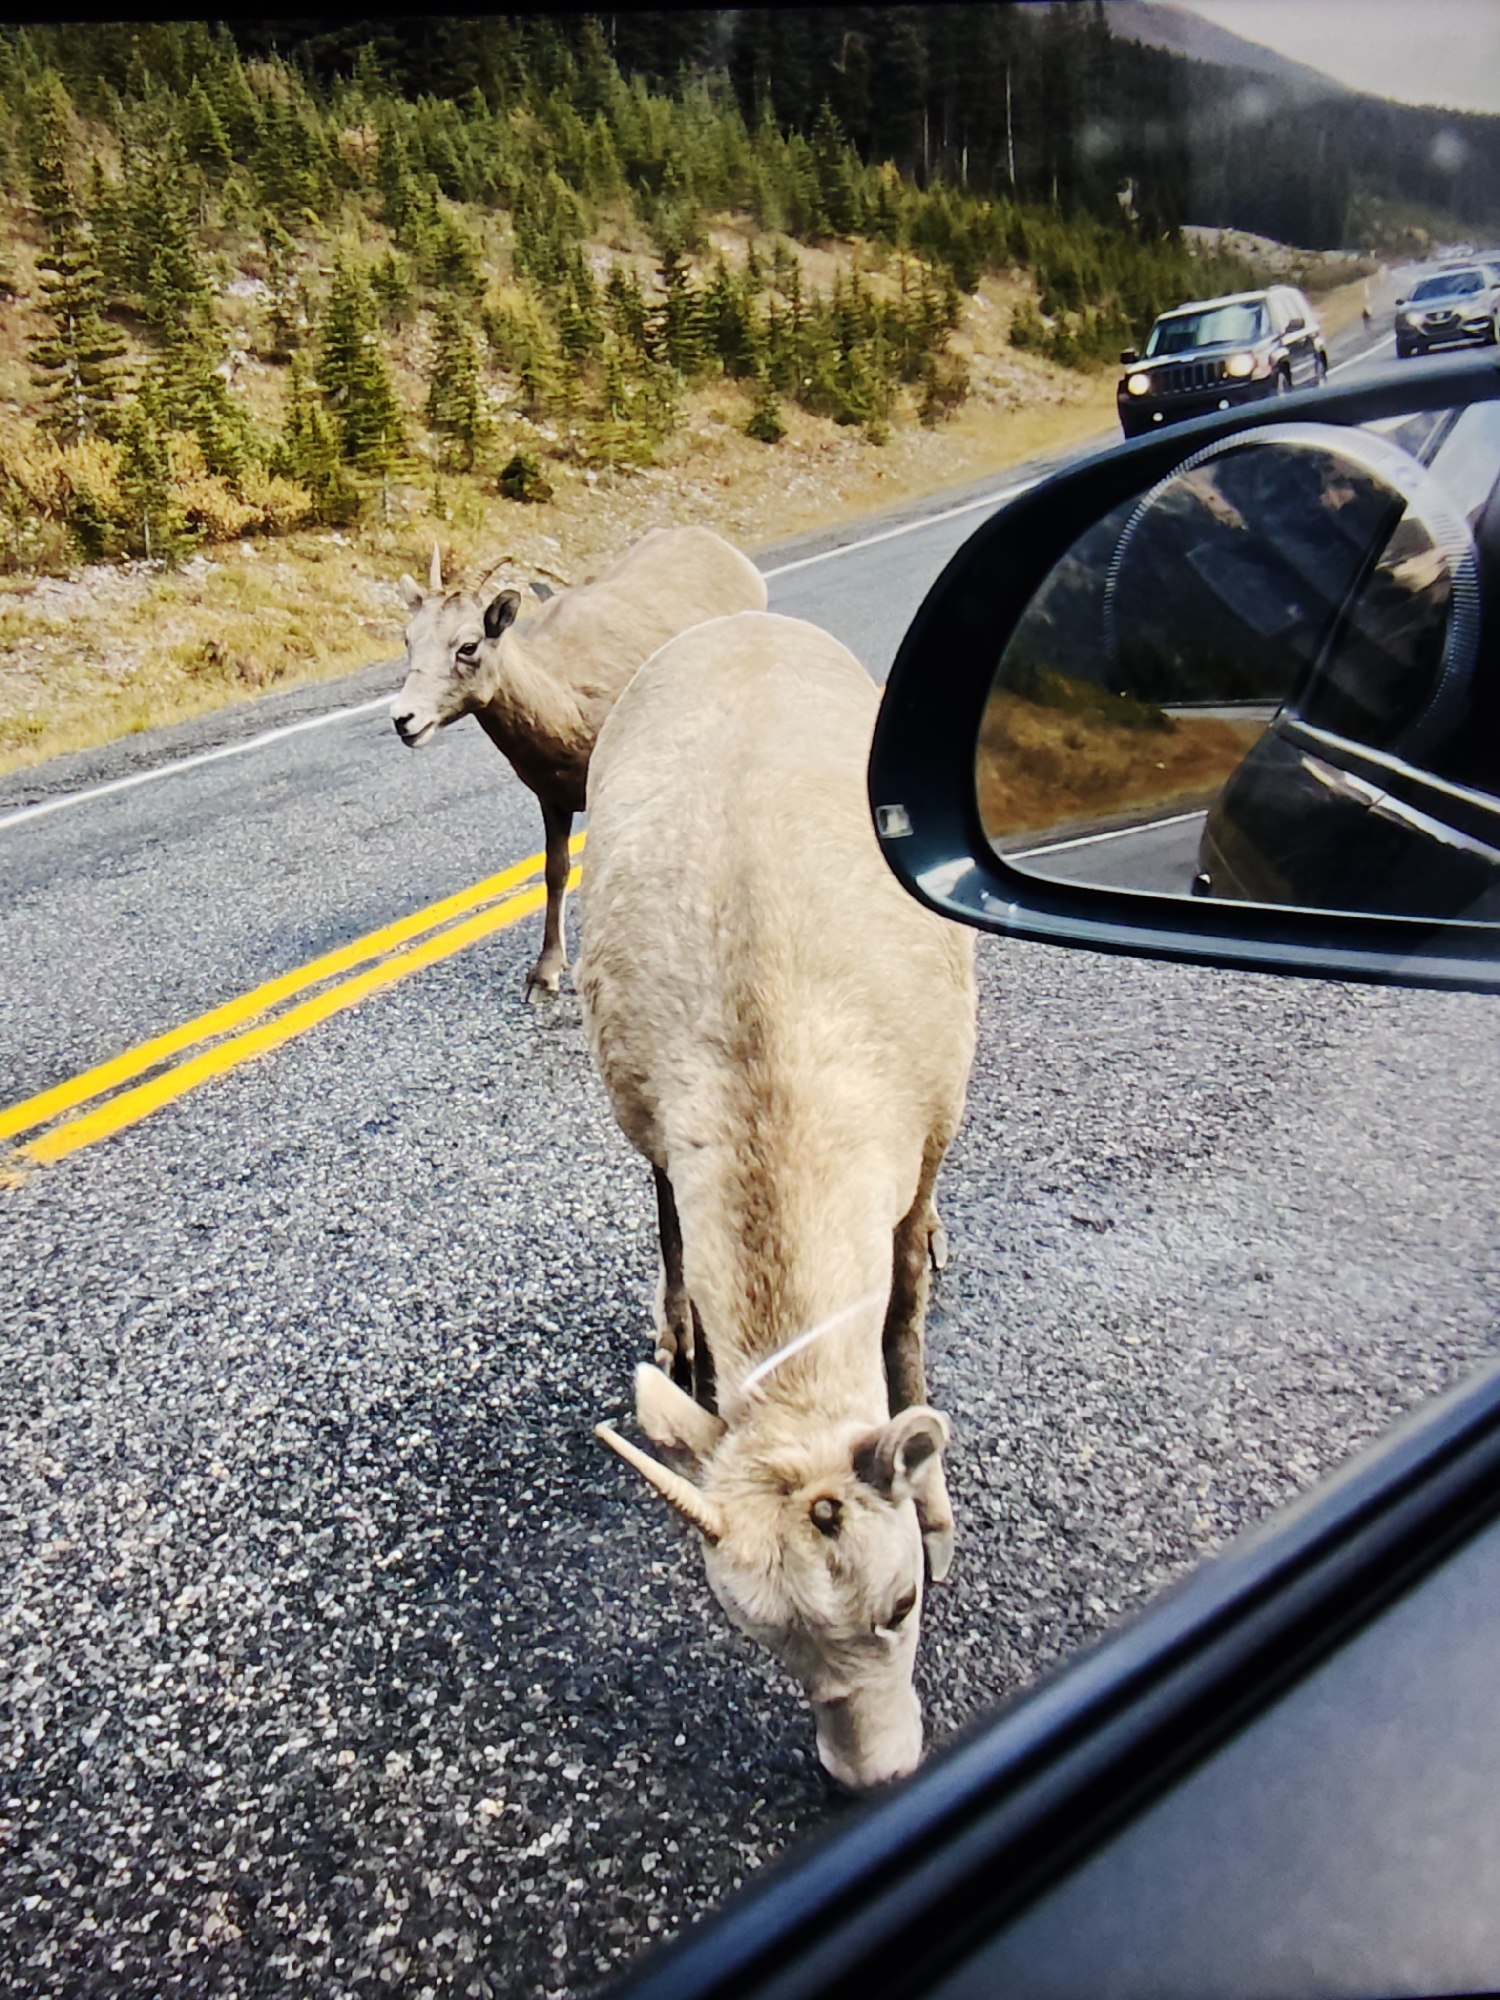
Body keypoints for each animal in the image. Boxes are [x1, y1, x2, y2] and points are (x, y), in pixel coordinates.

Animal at [389, 526, 768, 1001]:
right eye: (408, 639)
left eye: (468, 646)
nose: (404, 719)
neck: (569, 707)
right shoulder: (552, 800)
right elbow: (557, 872)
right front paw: (545, 975)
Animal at [579, 610, 977, 1790]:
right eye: (762, 1641)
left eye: (905, 1600)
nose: (873, 1778)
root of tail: (739, 620)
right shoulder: (665, 1127)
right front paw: (689, 1359)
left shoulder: (923, 1141)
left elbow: (902, 1322)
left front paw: (940, 1507)